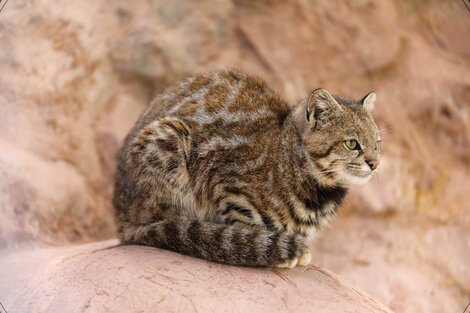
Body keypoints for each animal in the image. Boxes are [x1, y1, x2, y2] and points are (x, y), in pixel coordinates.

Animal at [114, 69, 382, 266]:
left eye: (377, 143)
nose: (375, 163)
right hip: (168, 139)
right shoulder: (224, 181)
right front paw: (257, 244)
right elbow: (242, 223)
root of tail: (120, 216)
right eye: (352, 144)